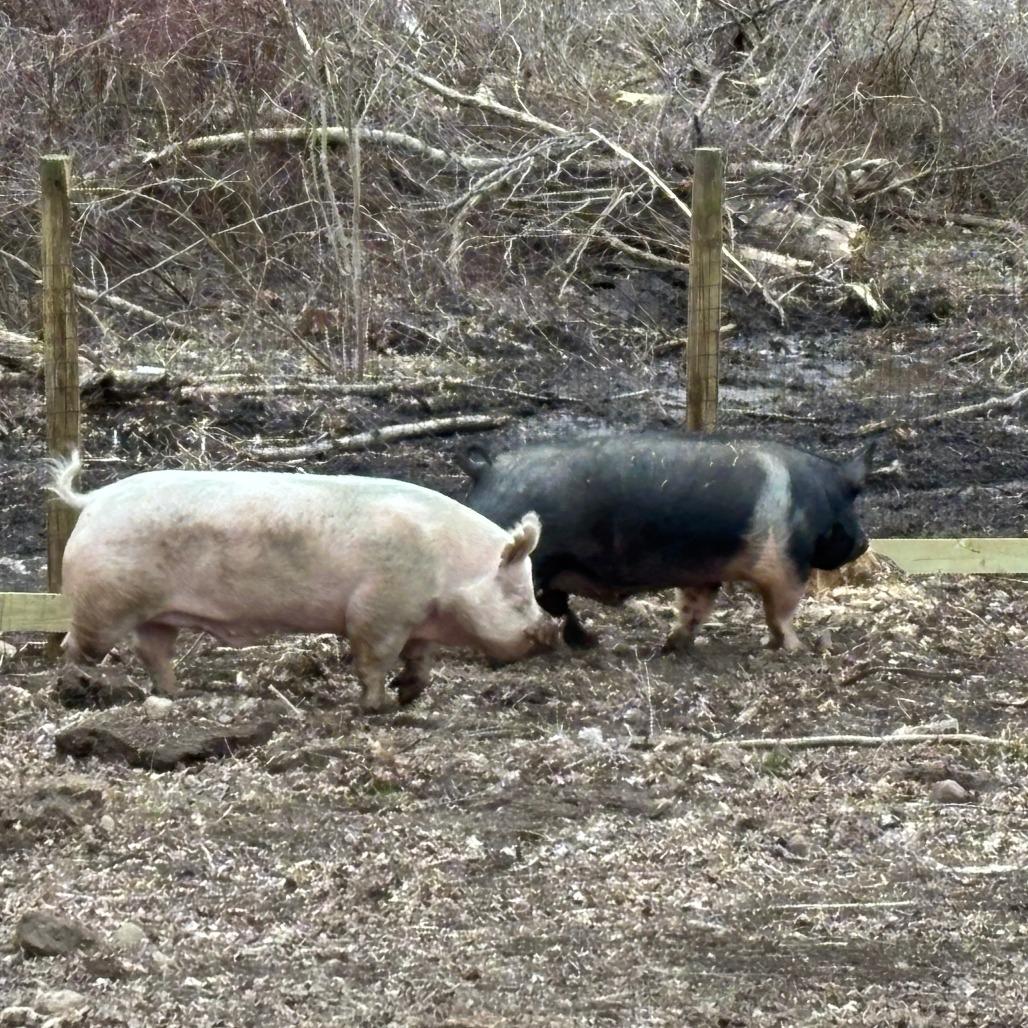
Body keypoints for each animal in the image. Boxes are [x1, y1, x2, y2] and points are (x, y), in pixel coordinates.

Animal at [49, 453, 558, 712]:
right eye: (518, 593)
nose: (551, 631)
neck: (450, 571)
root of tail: (93, 499)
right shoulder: (377, 610)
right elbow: (373, 660)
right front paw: (375, 707)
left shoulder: (415, 617)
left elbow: (420, 659)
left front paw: (409, 694)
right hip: (102, 602)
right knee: (76, 645)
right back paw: (79, 688)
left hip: (155, 614)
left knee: (152, 651)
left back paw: (176, 695)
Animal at [458, 432, 875, 653]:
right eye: (851, 500)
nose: (865, 542)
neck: (813, 501)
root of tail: (486, 468)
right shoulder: (786, 566)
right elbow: (781, 612)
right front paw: (795, 648)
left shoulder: (704, 576)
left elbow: (694, 608)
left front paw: (674, 646)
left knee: (555, 606)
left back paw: (589, 642)